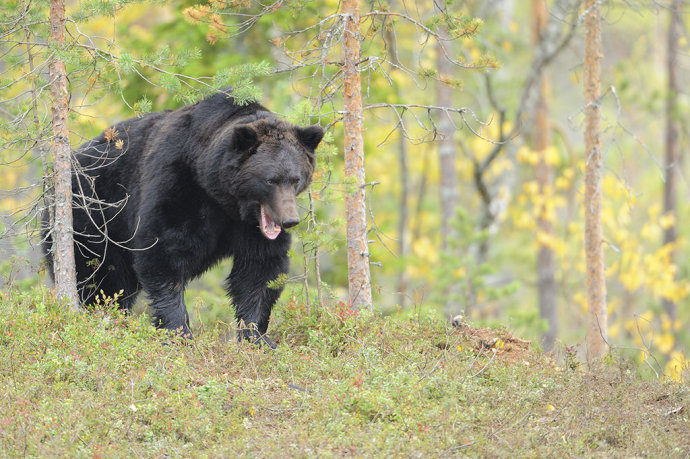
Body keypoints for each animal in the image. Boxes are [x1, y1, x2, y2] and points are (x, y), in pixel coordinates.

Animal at [41, 90, 324, 348]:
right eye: (270, 180)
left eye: (296, 179)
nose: (289, 220)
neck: (220, 195)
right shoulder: (178, 186)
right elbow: (163, 252)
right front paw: (179, 333)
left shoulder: (250, 226)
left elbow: (260, 269)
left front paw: (257, 337)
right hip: (94, 218)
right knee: (99, 277)